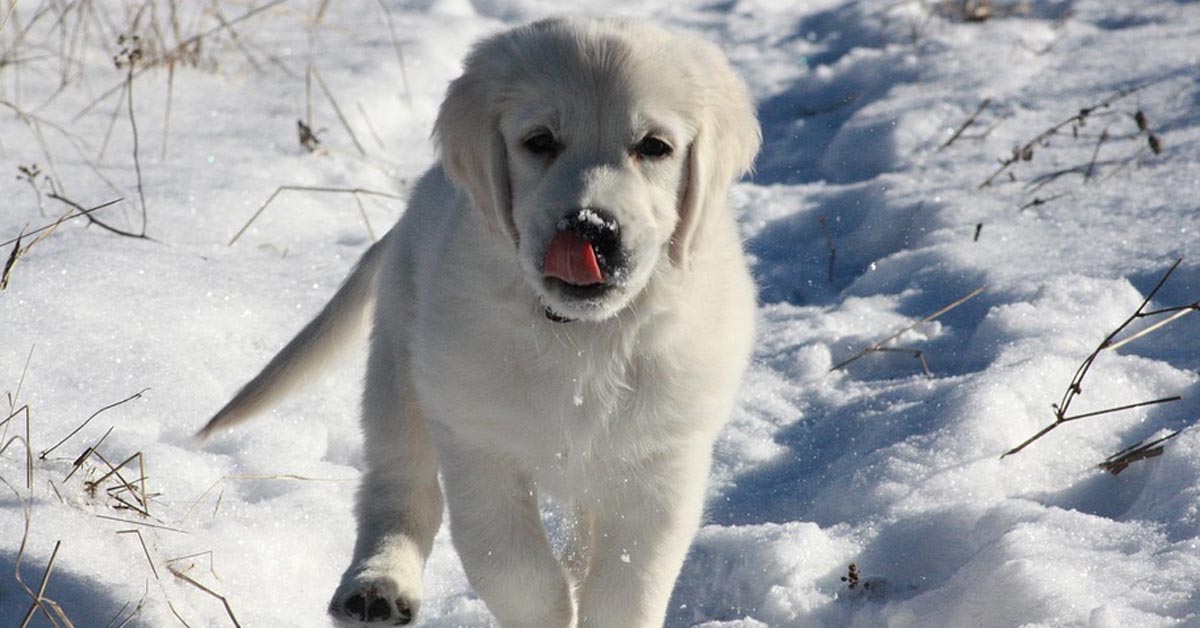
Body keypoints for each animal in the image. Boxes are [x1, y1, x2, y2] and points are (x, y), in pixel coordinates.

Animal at [199, 17, 758, 628]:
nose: (589, 228)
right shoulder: (476, 437)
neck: (582, 335)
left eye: (654, 146)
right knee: (400, 488)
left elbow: (625, 586)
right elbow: (513, 569)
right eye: (539, 141)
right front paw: (551, 608)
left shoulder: (662, 463)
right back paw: (378, 585)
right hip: (399, 368)